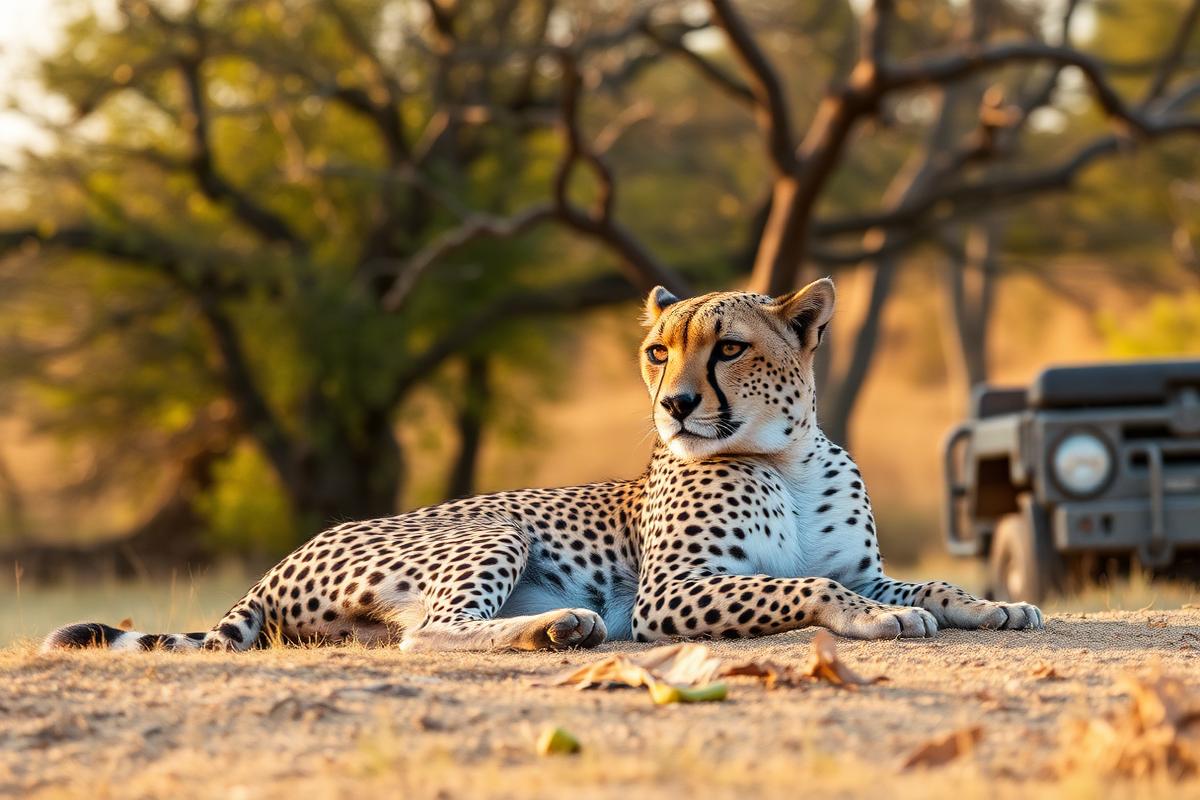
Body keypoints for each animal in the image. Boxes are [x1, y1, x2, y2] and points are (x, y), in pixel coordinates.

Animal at [43, 278, 1043, 654]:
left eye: (726, 348)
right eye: (657, 353)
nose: (676, 405)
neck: (781, 454)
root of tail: (281, 560)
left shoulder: (867, 564)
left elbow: (922, 582)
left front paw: (994, 603)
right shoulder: (670, 593)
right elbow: (805, 588)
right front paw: (873, 622)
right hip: (495, 525)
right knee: (428, 634)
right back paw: (563, 624)